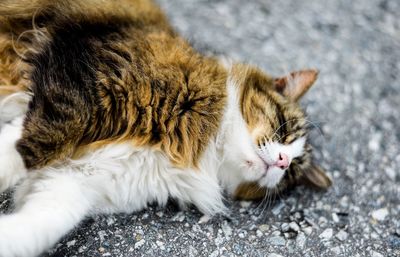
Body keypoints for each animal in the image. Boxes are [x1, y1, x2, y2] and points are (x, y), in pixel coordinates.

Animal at [0, 1, 332, 255]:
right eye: (284, 128)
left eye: (291, 174)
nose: (283, 161)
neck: (209, 149)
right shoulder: (86, 84)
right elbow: (24, 147)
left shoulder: (75, 181)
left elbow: (36, 226)